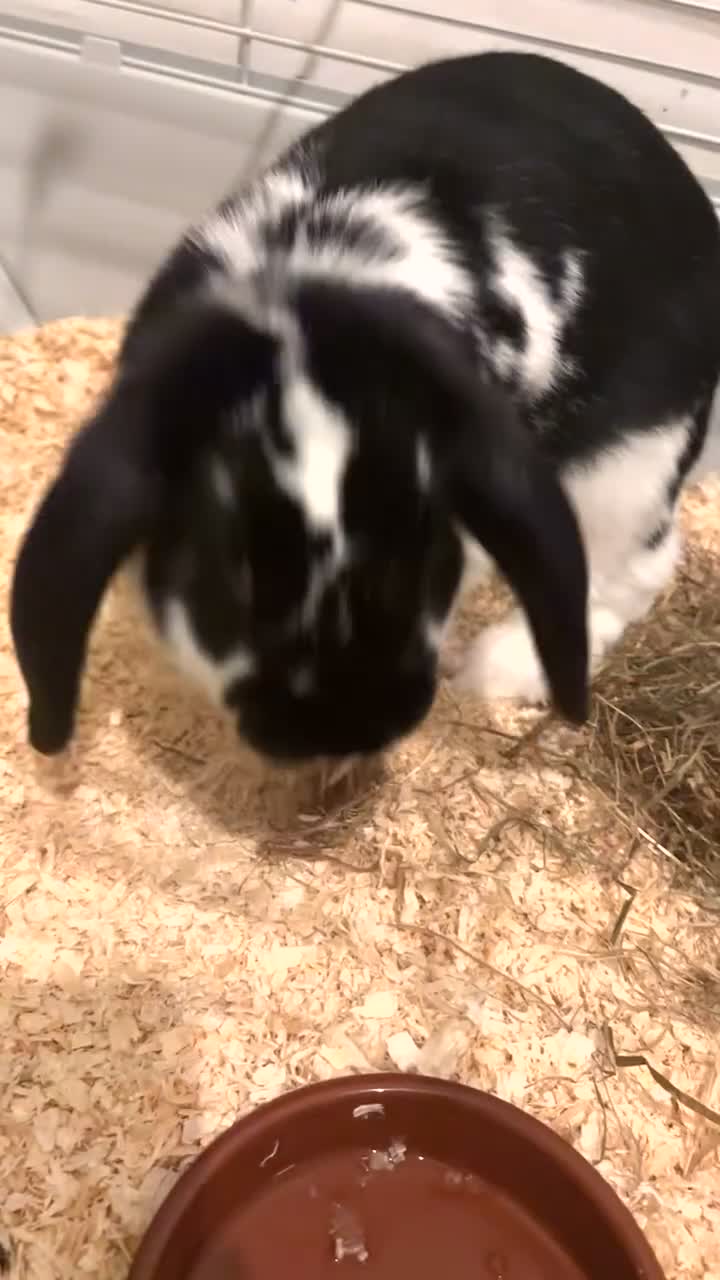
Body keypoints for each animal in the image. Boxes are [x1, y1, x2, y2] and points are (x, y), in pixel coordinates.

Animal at [10, 51, 720, 764]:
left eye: (428, 554)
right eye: (226, 584)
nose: (345, 732)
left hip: (625, 471)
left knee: (633, 569)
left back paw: (497, 669)